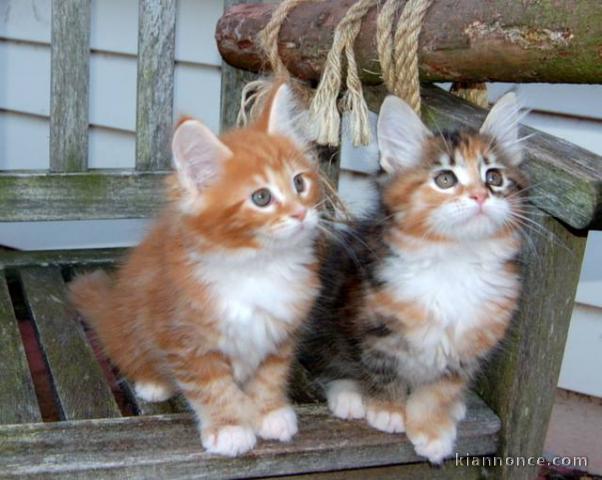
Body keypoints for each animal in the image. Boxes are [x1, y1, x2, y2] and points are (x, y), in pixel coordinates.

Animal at [69, 83, 322, 458]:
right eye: (261, 198)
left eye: (299, 183)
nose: (301, 213)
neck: (258, 267)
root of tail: (110, 309)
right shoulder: (185, 340)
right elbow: (213, 388)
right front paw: (230, 426)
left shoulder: (280, 335)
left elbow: (270, 377)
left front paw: (269, 412)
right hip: (131, 328)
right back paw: (153, 382)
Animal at [300, 92, 524, 464]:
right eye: (445, 179)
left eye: (494, 177)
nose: (480, 196)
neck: (455, 260)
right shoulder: (372, 323)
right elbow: (379, 367)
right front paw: (387, 409)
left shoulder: (472, 342)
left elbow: (440, 389)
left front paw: (432, 428)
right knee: (327, 361)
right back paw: (349, 395)